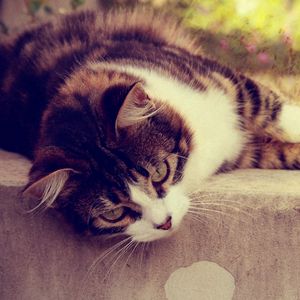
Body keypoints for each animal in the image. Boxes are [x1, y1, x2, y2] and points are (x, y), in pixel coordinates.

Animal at [0, 9, 300, 243]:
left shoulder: (226, 82)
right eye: (114, 214)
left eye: (159, 174)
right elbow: (277, 152)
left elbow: (272, 108)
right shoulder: (245, 151)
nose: (165, 222)